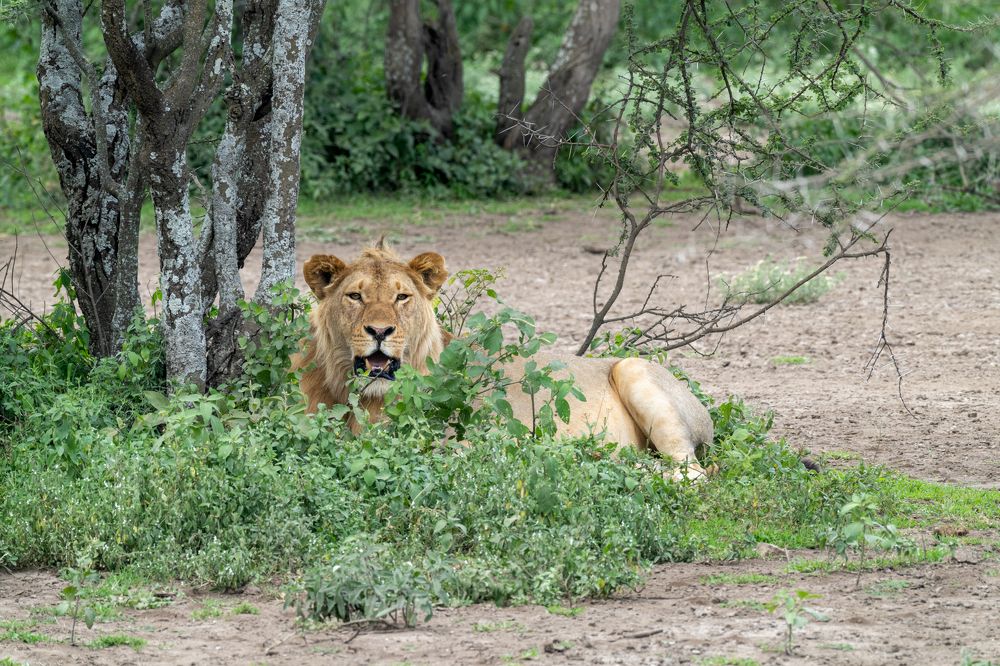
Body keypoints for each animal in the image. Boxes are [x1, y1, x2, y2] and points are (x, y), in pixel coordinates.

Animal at [294, 242, 714, 480]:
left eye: (401, 297)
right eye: (355, 296)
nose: (379, 331)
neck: (361, 396)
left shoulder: (464, 443)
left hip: (633, 367)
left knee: (691, 471)